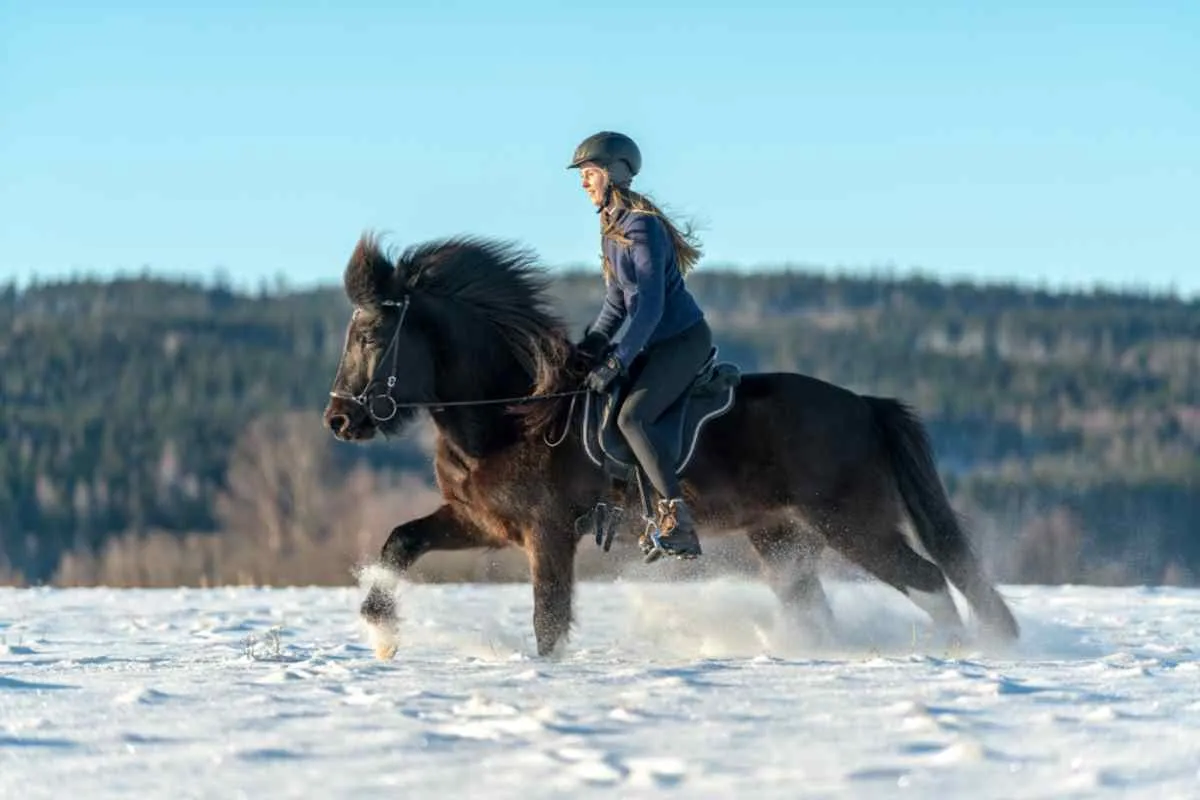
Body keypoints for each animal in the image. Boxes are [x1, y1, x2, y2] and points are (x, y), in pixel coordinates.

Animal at [322, 233, 1020, 659]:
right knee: (823, 609)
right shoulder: (483, 521)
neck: (511, 413)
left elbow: (548, 618)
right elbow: (399, 542)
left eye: (372, 335)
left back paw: (964, 655)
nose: (339, 420)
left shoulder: (548, 531)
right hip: (782, 540)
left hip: (853, 523)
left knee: (928, 579)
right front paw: (381, 634)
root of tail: (867, 407)